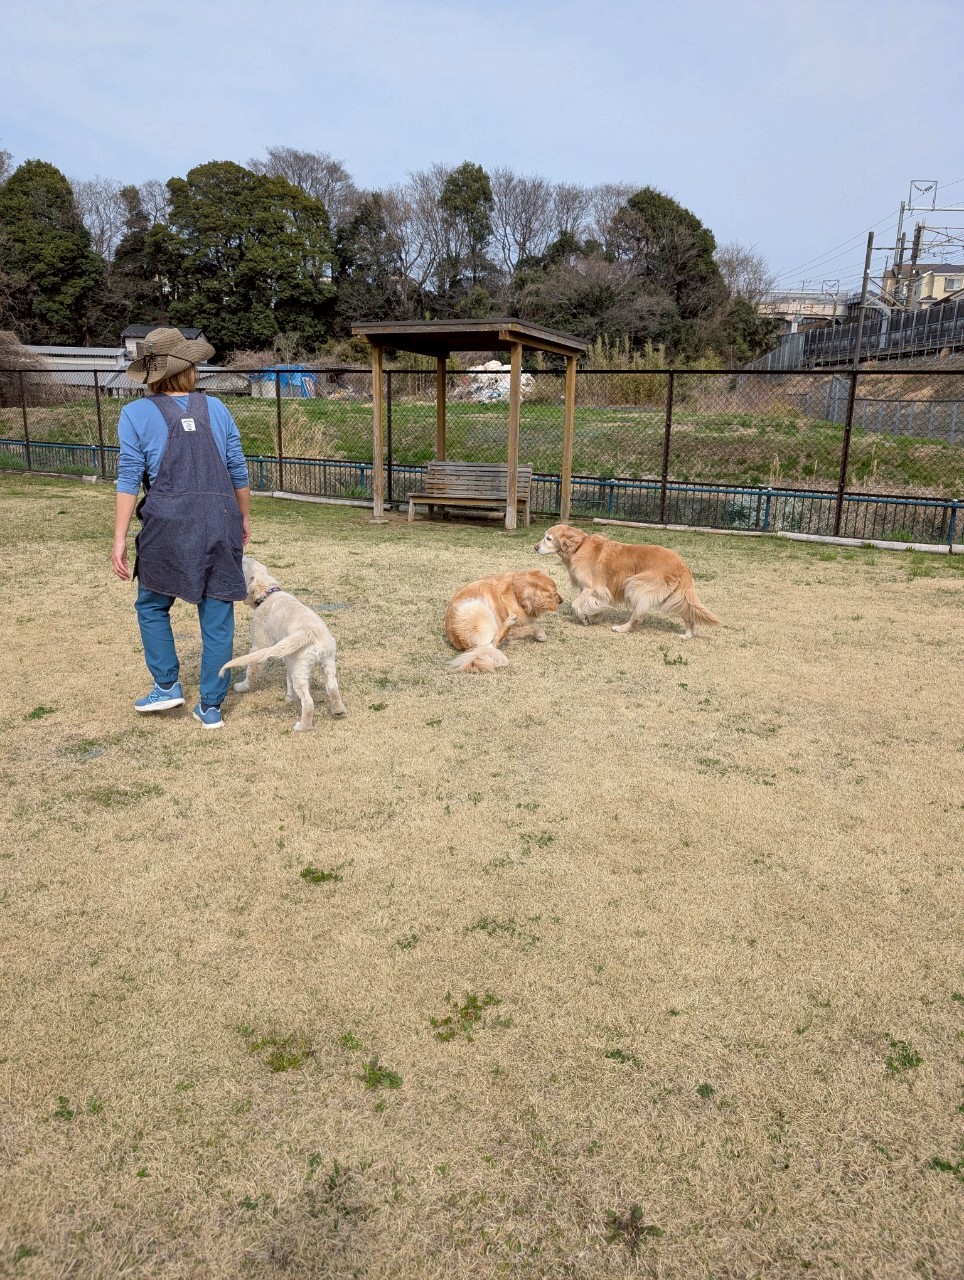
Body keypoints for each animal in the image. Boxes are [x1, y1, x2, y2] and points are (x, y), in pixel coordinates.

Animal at [218, 556, 347, 730]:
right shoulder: (288, 657)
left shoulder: (259, 645)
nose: (242, 555)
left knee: (308, 701)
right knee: (332, 686)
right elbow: (288, 678)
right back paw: (338, 710)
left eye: (243, 565)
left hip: (300, 667)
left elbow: (251, 671)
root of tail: (310, 633)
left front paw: (242, 687)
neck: (268, 594)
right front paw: (289, 697)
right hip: (327, 660)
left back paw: (302, 727)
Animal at [535, 524, 720, 639]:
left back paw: (622, 628)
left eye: (548, 538)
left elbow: (576, 605)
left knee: (637, 617)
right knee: (688, 613)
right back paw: (687, 635)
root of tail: (682, 564)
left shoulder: (591, 587)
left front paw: (584, 618)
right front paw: (595, 617)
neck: (579, 546)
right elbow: (595, 605)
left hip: (636, 585)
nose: (535, 547)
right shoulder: (598, 590)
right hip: (675, 595)